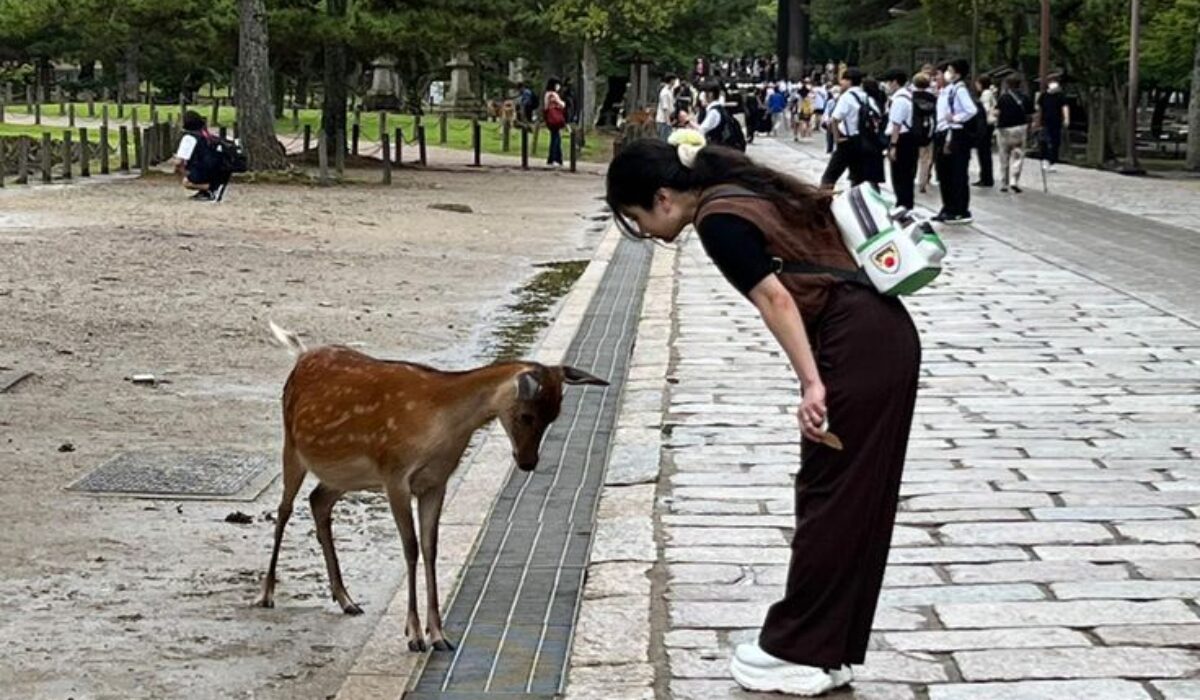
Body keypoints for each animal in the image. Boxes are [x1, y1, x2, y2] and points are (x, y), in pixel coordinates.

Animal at [257, 322, 607, 652]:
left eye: (554, 416)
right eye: (526, 415)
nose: (528, 462)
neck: (439, 427)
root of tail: (302, 355)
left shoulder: (436, 482)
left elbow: (430, 547)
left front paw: (438, 635)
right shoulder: (395, 475)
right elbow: (410, 547)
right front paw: (413, 635)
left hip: (344, 475)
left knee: (318, 500)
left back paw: (347, 600)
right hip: (292, 446)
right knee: (284, 508)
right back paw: (267, 594)